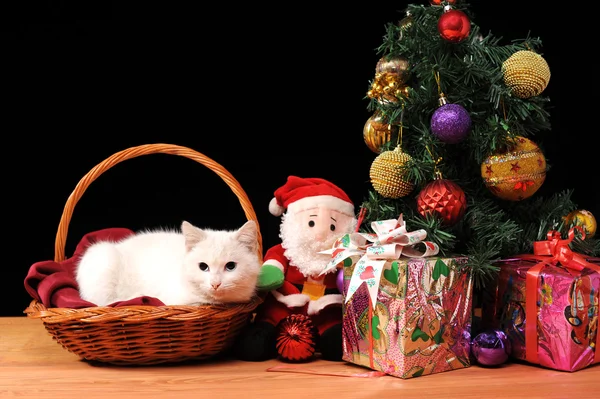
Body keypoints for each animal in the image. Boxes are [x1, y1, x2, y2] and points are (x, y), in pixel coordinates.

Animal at [74, 220, 262, 308]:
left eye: (230, 266)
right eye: (203, 266)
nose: (215, 284)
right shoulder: (174, 300)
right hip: (104, 257)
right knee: (104, 302)